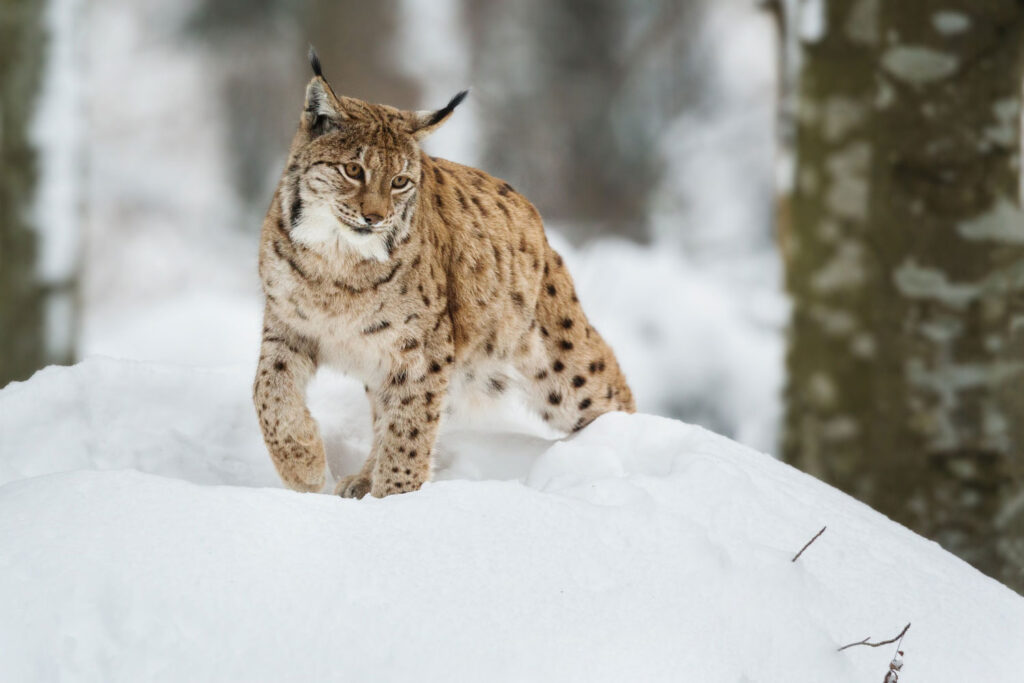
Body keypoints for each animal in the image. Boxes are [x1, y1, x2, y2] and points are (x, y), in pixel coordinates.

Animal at [254, 49, 635, 498]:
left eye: (400, 181)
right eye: (353, 171)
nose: (375, 218)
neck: (335, 255)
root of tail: (533, 216)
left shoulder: (422, 347)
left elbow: (410, 431)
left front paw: (396, 500)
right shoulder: (286, 326)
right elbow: (269, 392)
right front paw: (303, 466)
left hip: (560, 365)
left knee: (610, 390)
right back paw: (362, 477)